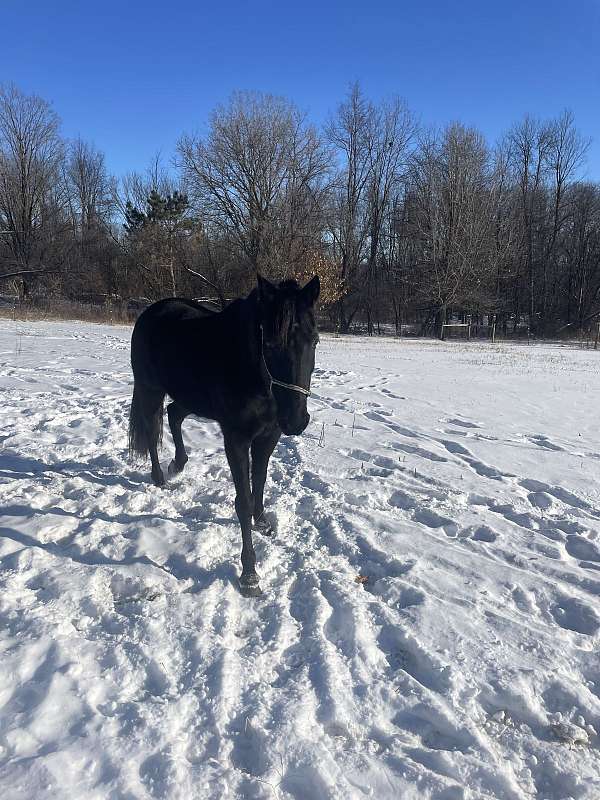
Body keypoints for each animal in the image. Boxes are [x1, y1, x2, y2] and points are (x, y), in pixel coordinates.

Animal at [129, 276, 322, 592]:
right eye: (270, 344)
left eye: (314, 340)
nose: (295, 421)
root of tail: (151, 311)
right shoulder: (236, 440)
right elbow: (243, 501)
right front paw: (249, 573)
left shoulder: (268, 437)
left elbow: (260, 482)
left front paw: (263, 522)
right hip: (149, 389)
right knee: (151, 427)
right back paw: (159, 477)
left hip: (189, 396)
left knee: (174, 414)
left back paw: (178, 464)